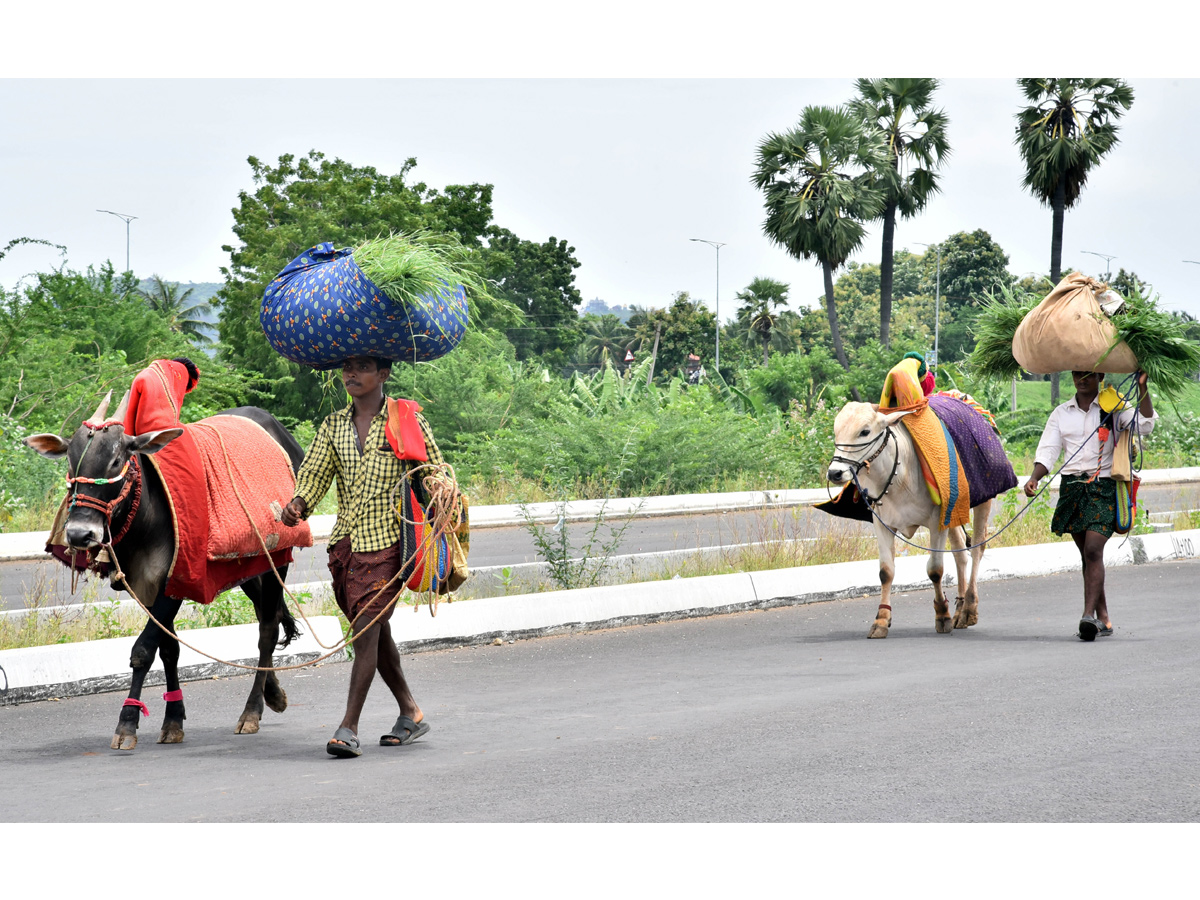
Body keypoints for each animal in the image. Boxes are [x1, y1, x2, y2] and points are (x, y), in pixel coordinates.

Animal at [25, 393, 304, 753]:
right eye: (71, 462)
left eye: (116, 460)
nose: (78, 534)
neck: (143, 518)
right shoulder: (145, 588)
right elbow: (169, 649)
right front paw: (173, 720)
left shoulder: (173, 585)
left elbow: (143, 651)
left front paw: (127, 724)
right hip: (248, 567)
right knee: (267, 618)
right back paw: (273, 693)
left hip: (275, 562)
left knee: (267, 629)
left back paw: (252, 711)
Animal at [830, 400, 988, 643]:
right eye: (836, 431)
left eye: (864, 431)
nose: (835, 473)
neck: (901, 473)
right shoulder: (882, 523)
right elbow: (886, 572)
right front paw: (881, 620)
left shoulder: (937, 521)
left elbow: (935, 570)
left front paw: (942, 614)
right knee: (960, 552)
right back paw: (960, 610)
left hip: (983, 502)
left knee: (977, 549)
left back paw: (969, 609)